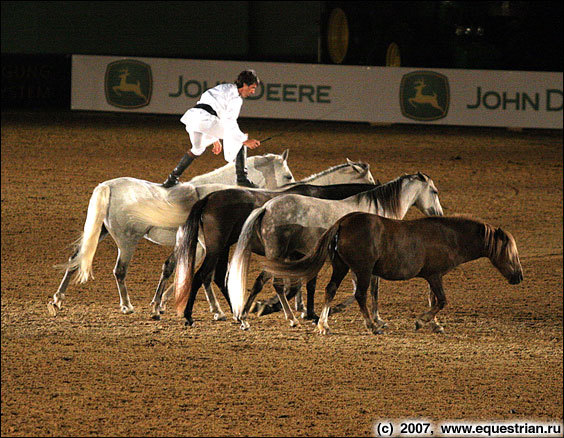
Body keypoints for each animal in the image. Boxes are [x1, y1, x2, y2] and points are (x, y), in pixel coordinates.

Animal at [262, 212, 524, 336]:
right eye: (510, 252)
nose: (518, 277)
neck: (448, 236)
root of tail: (343, 222)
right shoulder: (435, 275)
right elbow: (441, 301)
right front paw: (421, 321)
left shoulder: (432, 276)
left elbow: (433, 300)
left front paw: (435, 325)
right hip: (363, 270)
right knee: (360, 296)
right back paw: (372, 325)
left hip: (341, 267)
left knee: (331, 290)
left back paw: (323, 325)